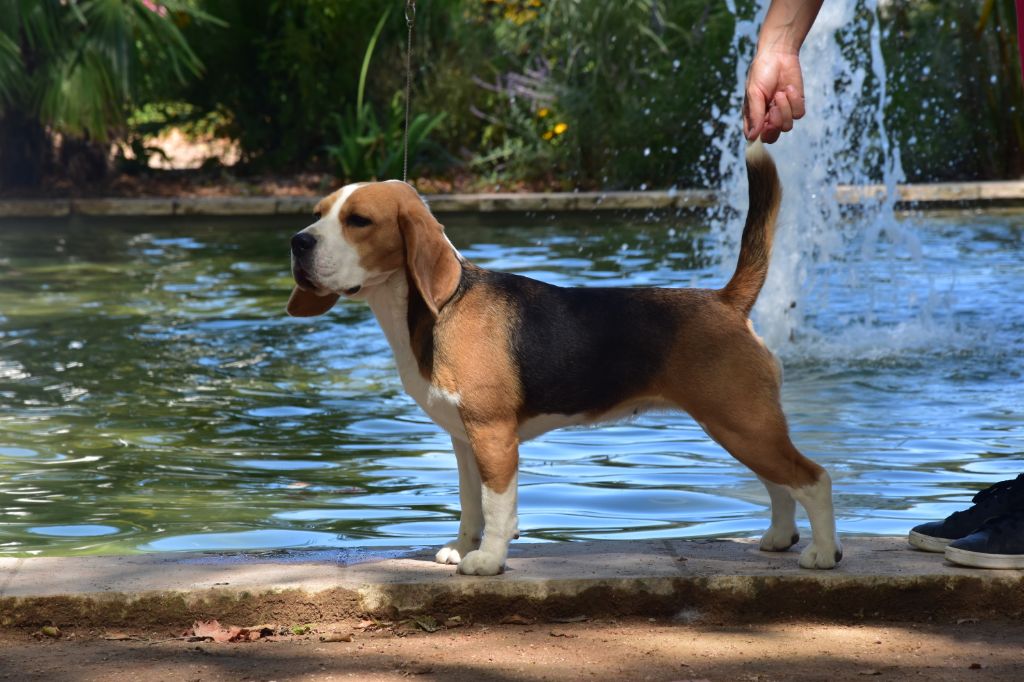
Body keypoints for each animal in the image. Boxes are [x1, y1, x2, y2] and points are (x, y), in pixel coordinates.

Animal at [286, 142, 839, 573]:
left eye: (359, 221)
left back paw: (823, 552)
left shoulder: (492, 435)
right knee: (780, 484)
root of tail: (726, 300)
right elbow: (469, 503)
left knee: (812, 478)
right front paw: (461, 548)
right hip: (742, 427)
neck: (435, 308)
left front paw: (488, 561)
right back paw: (779, 538)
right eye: (318, 212)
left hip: (742, 423)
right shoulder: (463, 439)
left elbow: (498, 506)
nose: (297, 242)